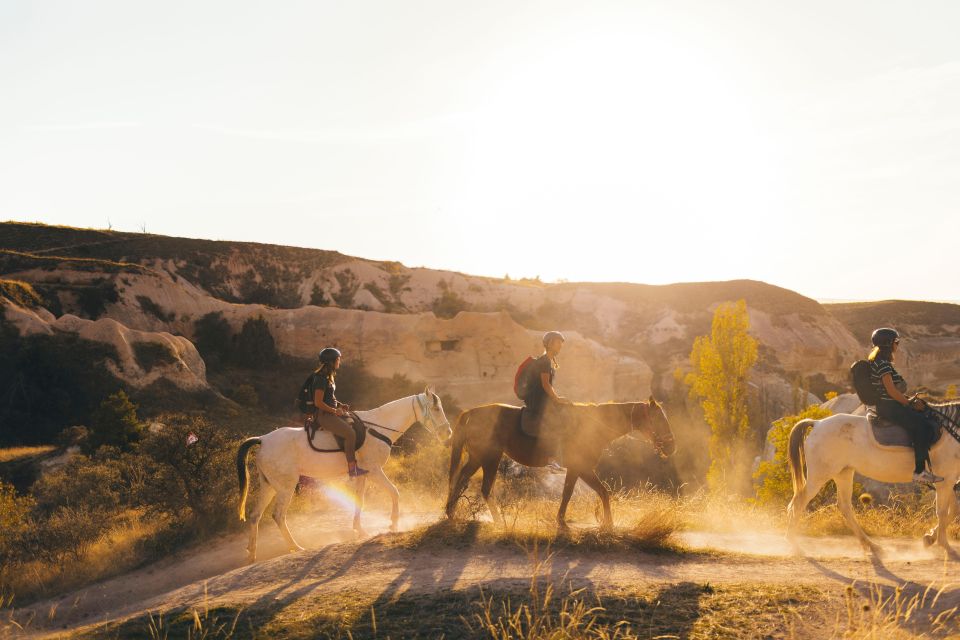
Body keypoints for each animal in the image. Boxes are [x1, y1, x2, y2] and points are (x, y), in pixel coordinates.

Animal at [238, 384, 452, 560]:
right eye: (436, 409)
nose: (447, 433)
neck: (377, 428)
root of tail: (263, 440)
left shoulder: (363, 474)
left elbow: (359, 500)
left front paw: (360, 530)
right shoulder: (374, 471)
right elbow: (394, 492)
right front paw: (393, 524)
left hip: (269, 486)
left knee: (255, 516)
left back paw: (252, 554)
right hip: (285, 487)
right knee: (278, 516)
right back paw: (296, 547)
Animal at [444, 396, 676, 528]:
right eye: (659, 420)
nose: (671, 448)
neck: (595, 425)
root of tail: (471, 413)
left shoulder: (578, 469)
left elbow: (578, 492)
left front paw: (570, 519)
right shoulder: (581, 467)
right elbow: (594, 492)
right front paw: (605, 523)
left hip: (479, 458)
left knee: (461, 479)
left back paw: (451, 512)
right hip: (490, 458)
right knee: (482, 487)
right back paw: (497, 521)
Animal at [788, 400, 960, 556]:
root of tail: (817, 423)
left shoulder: (948, 481)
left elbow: (953, 510)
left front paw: (930, 538)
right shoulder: (946, 481)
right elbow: (942, 512)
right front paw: (945, 546)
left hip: (843, 473)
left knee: (844, 506)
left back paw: (871, 545)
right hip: (819, 476)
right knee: (798, 503)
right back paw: (795, 546)